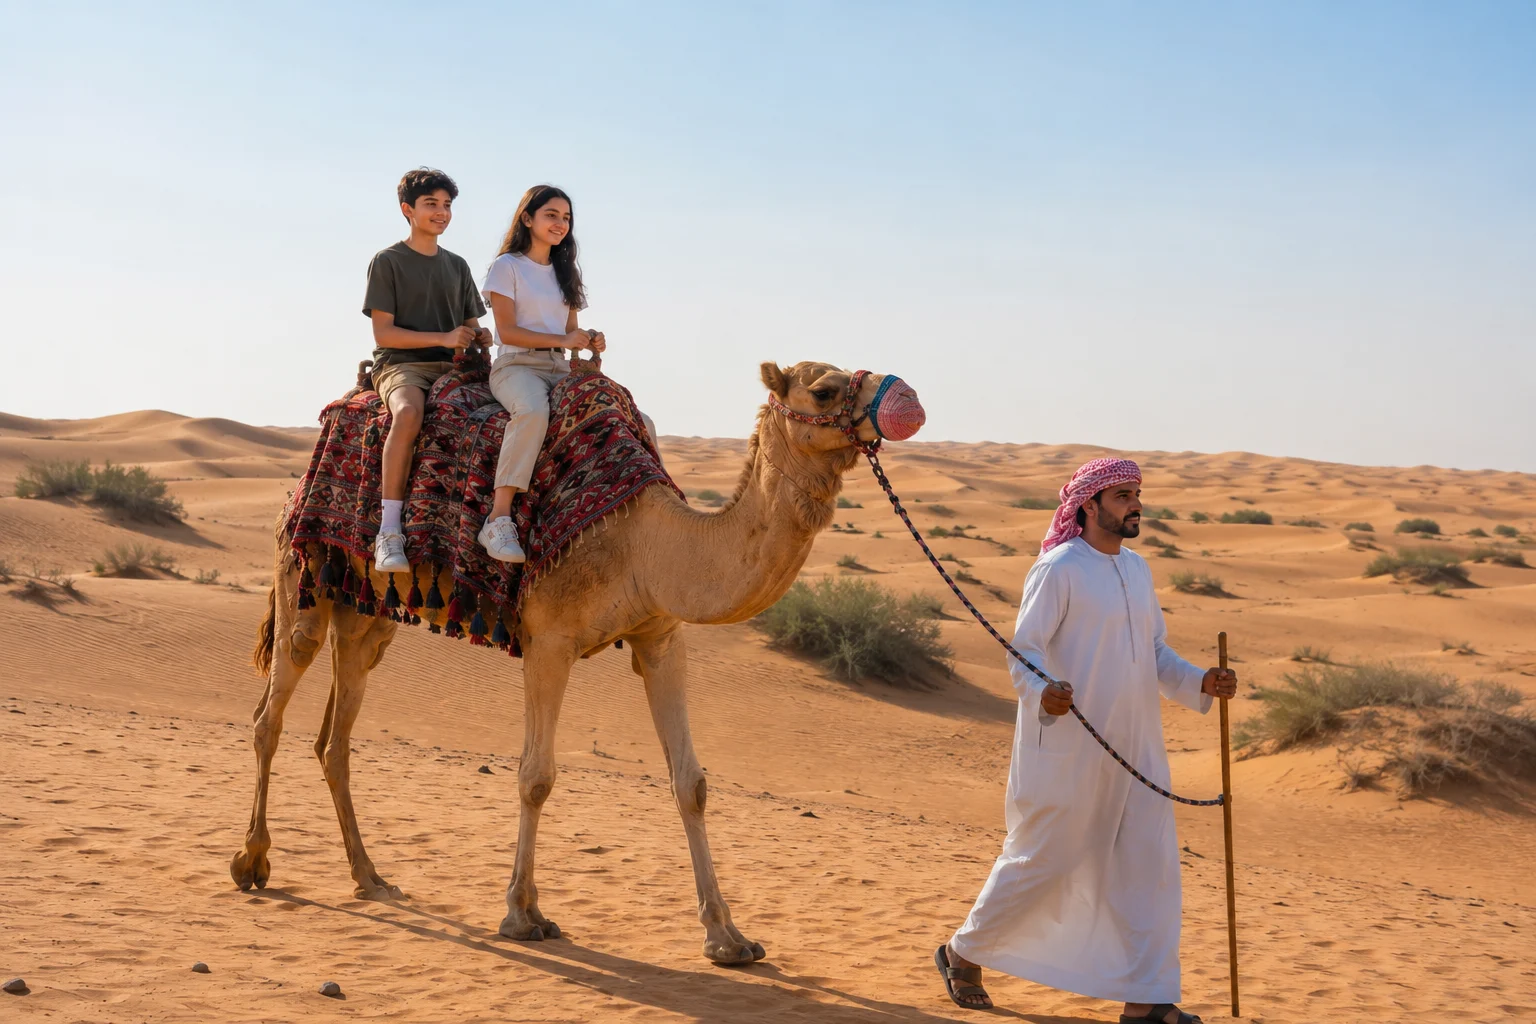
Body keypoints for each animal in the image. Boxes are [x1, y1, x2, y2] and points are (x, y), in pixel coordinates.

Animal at [231, 360, 925, 964]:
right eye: (826, 389)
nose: (907, 398)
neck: (648, 539)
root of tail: (296, 485)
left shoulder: (660, 638)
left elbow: (691, 784)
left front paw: (728, 938)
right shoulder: (549, 638)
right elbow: (535, 775)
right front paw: (522, 916)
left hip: (366, 612)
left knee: (334, 736)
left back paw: (371, 878)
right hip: (301, 579)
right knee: (270, 715)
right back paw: (253, 862)